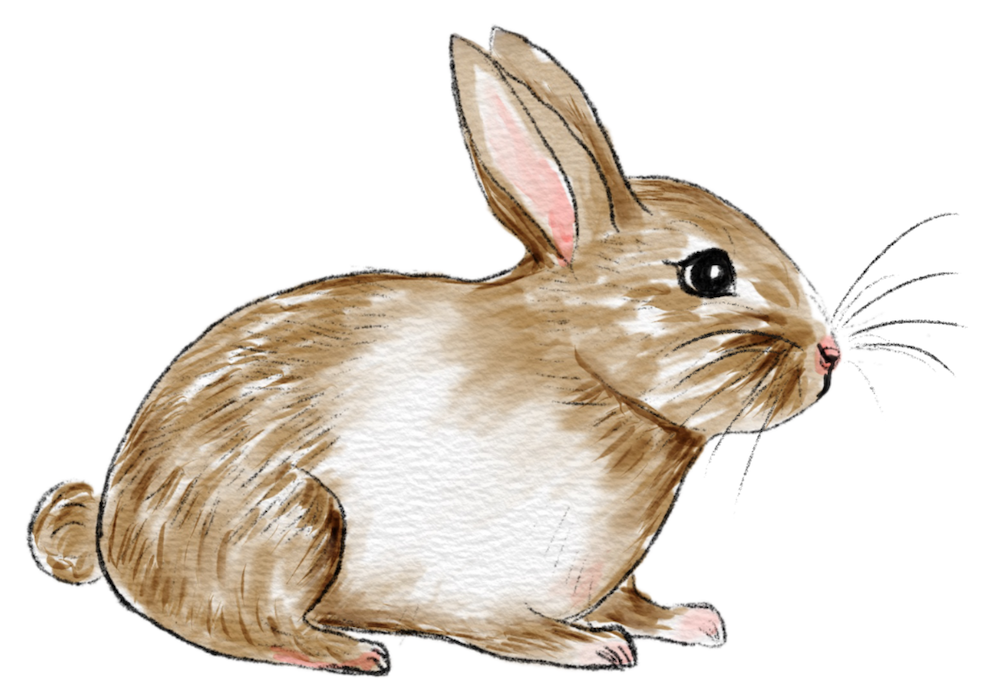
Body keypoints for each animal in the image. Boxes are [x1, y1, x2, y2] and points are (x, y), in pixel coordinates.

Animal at [29, 28, 841, 674]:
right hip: (292, 526)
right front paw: (591, 647)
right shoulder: (475, 587)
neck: (589, 377)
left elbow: (632, 600)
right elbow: (506, 627)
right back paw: (351, 650)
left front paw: (692, 621)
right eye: (708, 274)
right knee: (247, 626)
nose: (829, 353)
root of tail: (112, 532)